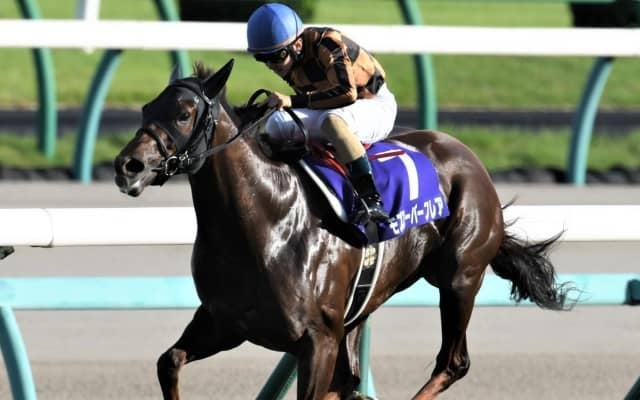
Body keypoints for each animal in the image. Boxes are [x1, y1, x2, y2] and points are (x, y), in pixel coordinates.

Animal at [114, 59, 573, 400]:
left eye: (184, 113)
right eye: (146, 110)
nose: (127, 166)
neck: (267, 222)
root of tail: (471, 160)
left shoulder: (317, 340)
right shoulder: (224, 322)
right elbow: (168, 362)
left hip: (460, 277)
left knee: (453, 363)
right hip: (362, 308)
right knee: (354, 379)